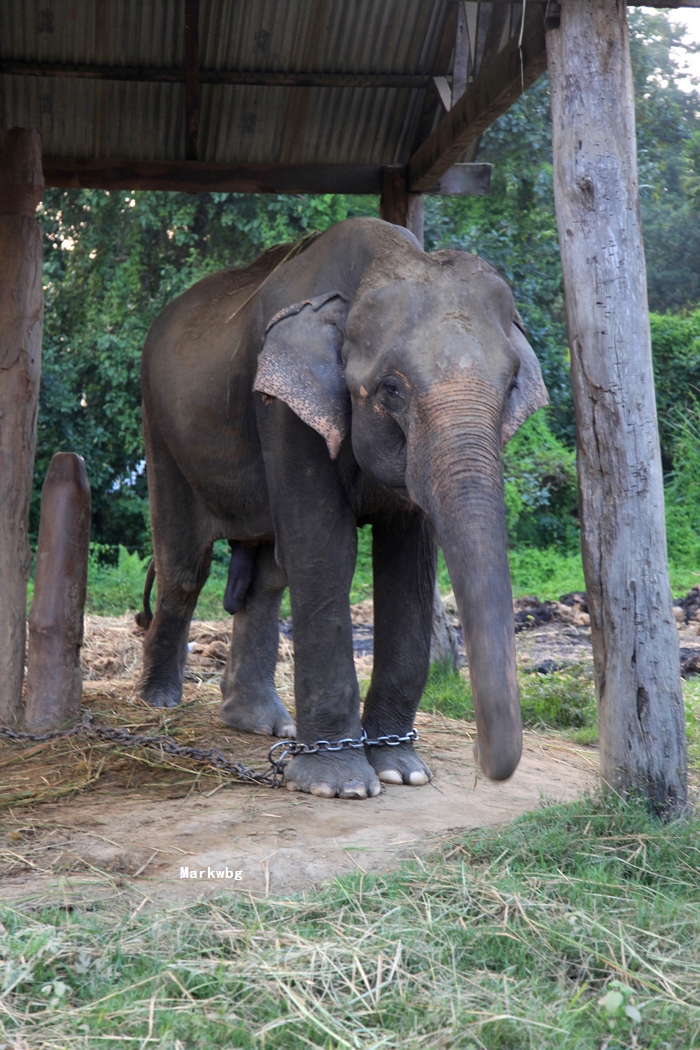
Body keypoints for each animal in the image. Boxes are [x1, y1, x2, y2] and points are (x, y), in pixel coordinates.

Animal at [136, 217, 549, 797]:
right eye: (392, 388)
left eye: (511, 385)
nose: (482, 758)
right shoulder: (282, 410)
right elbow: (326, 551)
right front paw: (341, 786)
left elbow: (408, 564)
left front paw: (403, 771)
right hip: (160, 428)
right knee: (184, 567)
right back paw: (157, 701)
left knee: (267, 575)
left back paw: (261, 723)